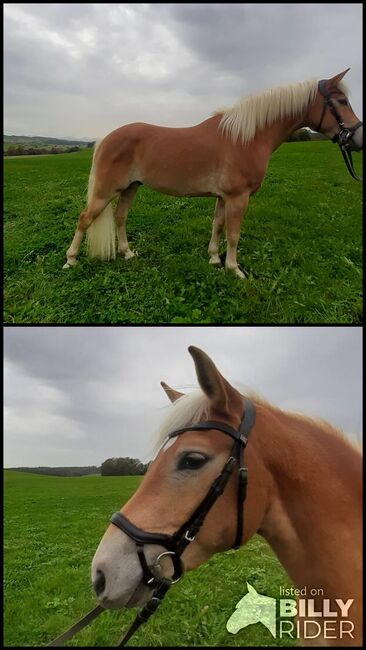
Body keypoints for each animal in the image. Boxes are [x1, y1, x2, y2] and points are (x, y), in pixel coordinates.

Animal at [61, 69, 362, 278]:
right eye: (341, 101)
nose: (358, 138)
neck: (245, 138)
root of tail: (106, 138)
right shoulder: (238, 197)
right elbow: (234, 233)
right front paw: (234, 269)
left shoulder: (223, 197)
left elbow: (217, 225)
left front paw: (215, 259)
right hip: (106, 191)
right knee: (84, 219)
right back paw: (71, 259)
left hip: (130, 187)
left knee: (120, 217)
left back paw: (127, 253)